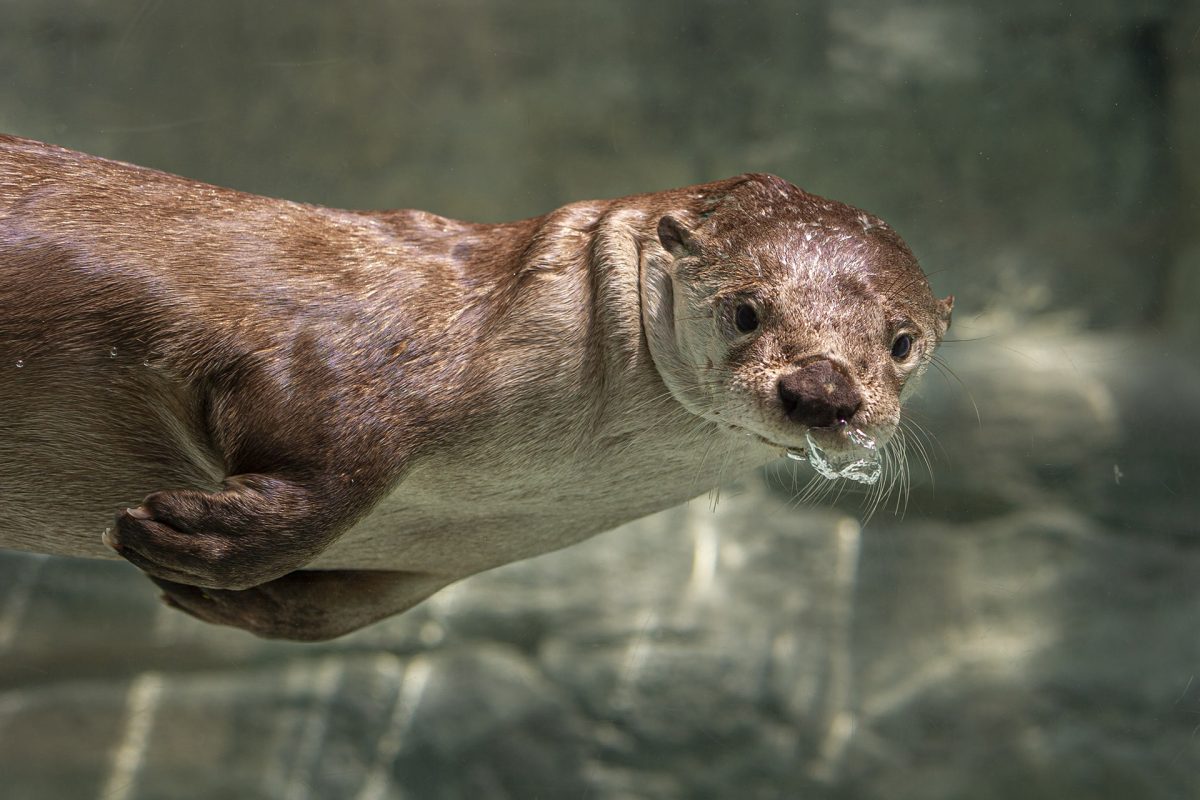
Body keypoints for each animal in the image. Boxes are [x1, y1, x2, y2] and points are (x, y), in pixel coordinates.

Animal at [2, 134, 955, 642]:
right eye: (747, 310)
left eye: (902, 341)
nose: (825, 391)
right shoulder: (338, 353)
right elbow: (330, 465)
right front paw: (177, 533)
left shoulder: (429, 561)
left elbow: (337, 604)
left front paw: (212, 585)